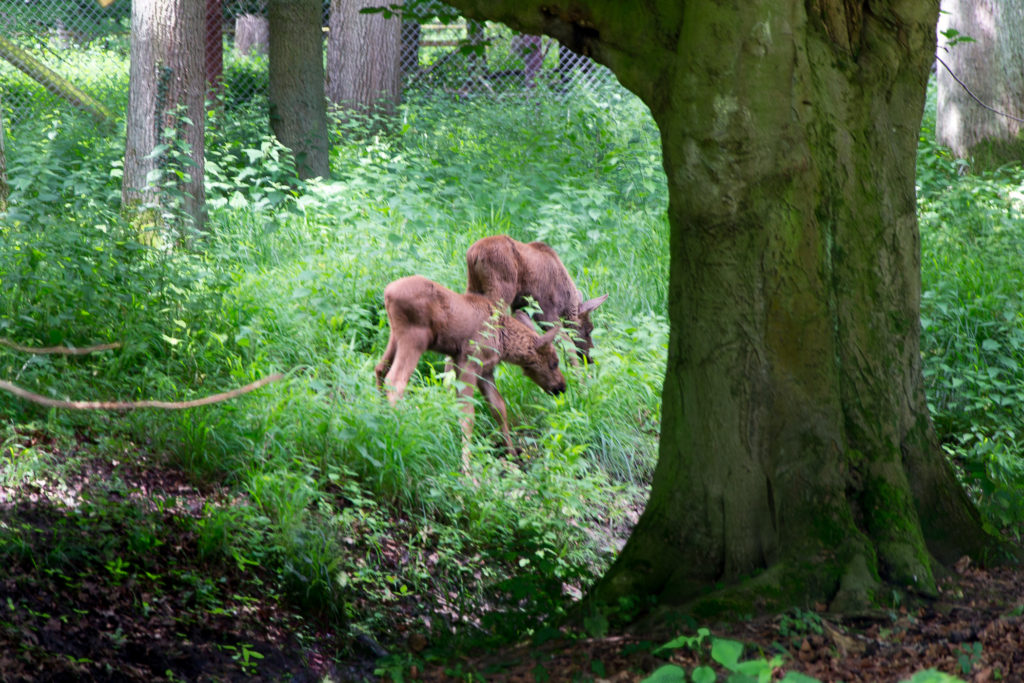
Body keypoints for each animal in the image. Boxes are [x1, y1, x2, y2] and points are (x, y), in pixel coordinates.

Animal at [376, 274, 569, 456]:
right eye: (554, 363)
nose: (562, 386)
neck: (503, 341)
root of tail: (388, 293)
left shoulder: (485, 370)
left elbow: (499, 408)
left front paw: (512, 454)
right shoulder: (467, 362)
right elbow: (467, 416)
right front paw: (467, 466)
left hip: (395, 336)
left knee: (380, 369)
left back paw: (382, 413)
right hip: (415, 337)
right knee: (396, 380)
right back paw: (396, 427)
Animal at [466, 235, 606, 362]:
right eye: (589, 329)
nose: (591, 358)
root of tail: (473, 254)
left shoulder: (521, 306)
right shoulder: (545, 311)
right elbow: (566, 342)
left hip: (474, 286)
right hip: (501, 291)